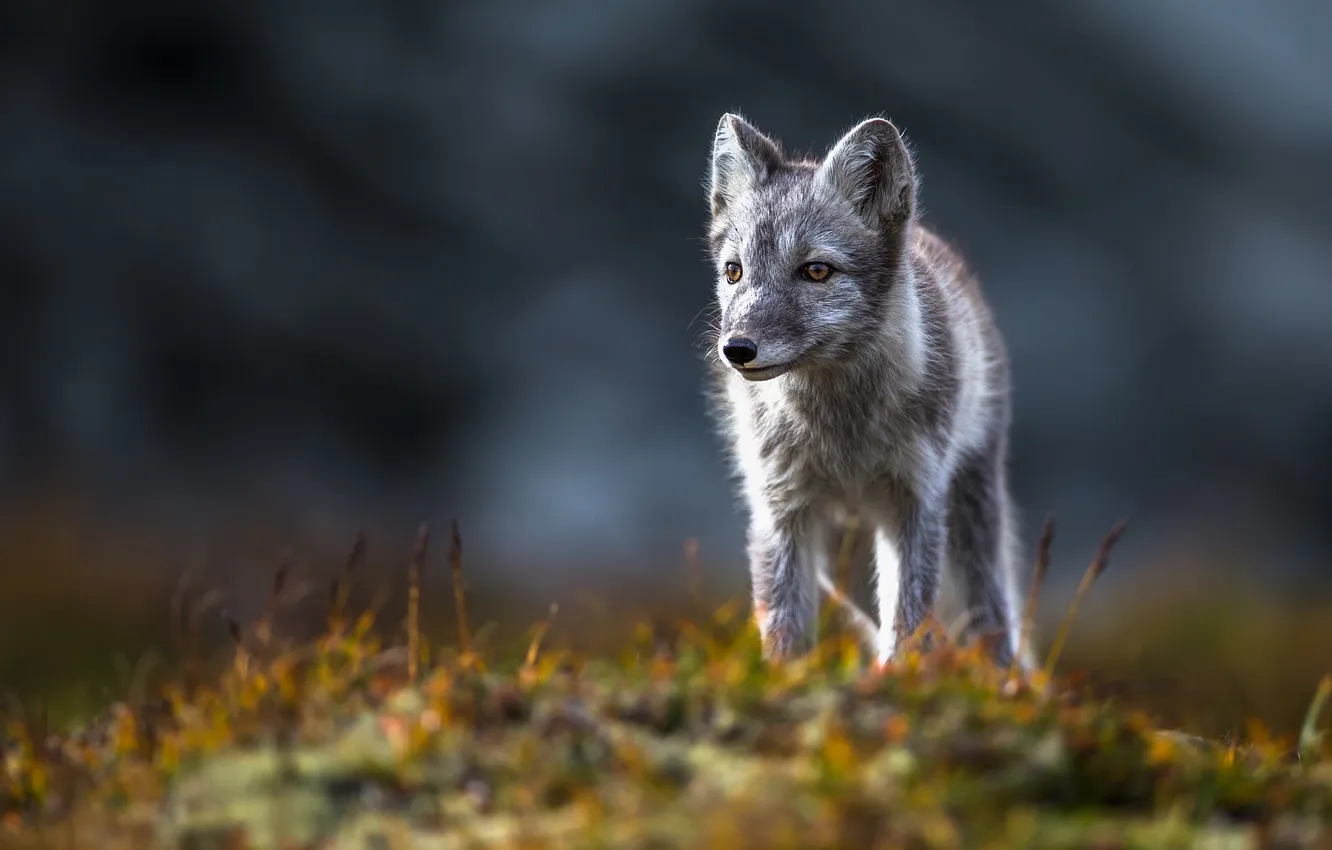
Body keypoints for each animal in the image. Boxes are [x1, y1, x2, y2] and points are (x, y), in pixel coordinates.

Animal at [702, 112, 1030, 670]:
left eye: (816, 270)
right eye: (734, 271)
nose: (736, 349)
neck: (843, 436)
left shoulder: (917, 500)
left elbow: (910, 620)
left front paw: (903, 680)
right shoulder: (779, 508)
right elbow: (784, 627)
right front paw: (784, 681)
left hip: (967, 516)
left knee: (989, 622)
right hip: (840, 559)